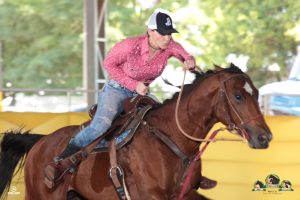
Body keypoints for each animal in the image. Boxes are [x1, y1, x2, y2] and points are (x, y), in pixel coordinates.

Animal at [0, 64, 272, 200]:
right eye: (238, 96)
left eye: (257, 93)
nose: (265, 137)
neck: (170, 139)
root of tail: (41, 141)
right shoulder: (150, 196)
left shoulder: (186, 195)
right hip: (41, 195)